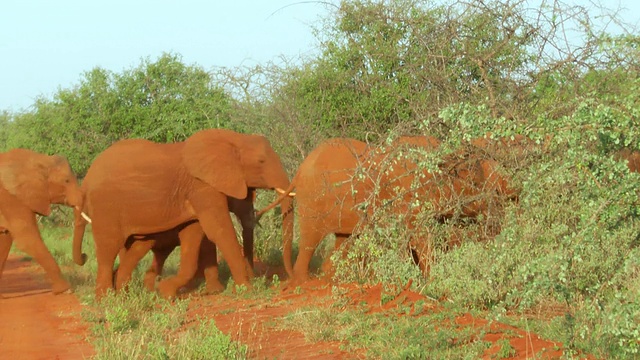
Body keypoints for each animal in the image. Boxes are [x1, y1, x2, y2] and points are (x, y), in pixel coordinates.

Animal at [0, 148, 84, 294]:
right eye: (66, 181)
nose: (85, 256)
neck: (39, 160)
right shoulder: (11, 200)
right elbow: (27, 240)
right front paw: (65, 290)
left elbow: (5, 241)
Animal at [74, 129, 292, 298]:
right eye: (261, 161)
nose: (288, 279)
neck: (235, 138)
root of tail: (86, 179)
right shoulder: (201, 187)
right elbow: (219, 231)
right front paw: (246, 290)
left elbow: (194, 236)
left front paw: (167, 291)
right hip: (106, 208)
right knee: (108, 249)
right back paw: (107, 298)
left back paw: (127, 292)